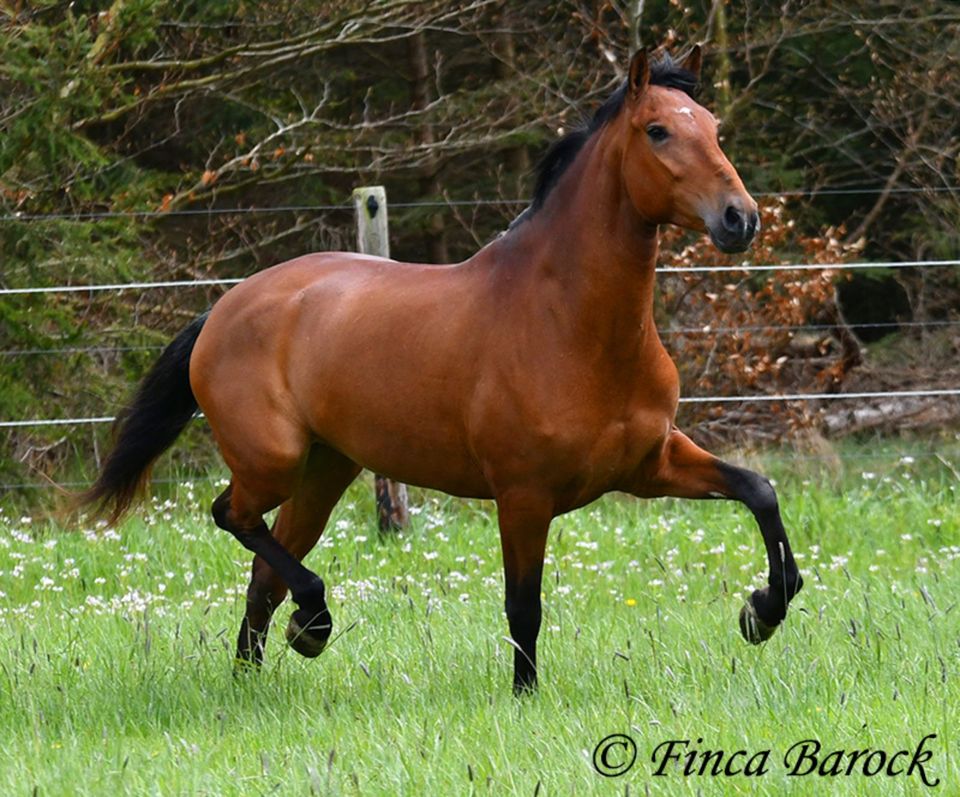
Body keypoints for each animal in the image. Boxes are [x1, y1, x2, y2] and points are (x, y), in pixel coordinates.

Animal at [82, 48, 804, 692]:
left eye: (713, 127)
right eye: (658, 130)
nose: (740, 218)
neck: (573, 325)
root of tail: (224, 307)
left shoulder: (650, 464)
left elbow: (758, 490)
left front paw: (763, 610)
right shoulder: (523, 494)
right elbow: (524, 606)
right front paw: (524, 696)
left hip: (324, 471)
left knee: (263, 575)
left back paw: (260, 671)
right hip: (274, 462)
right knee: (230, 515)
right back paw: (311, 624)